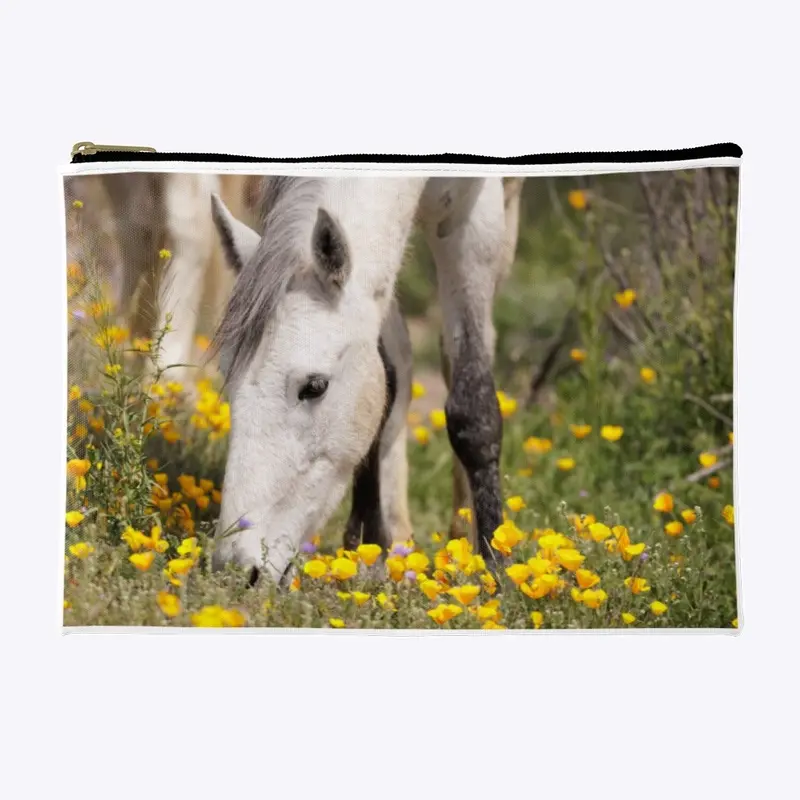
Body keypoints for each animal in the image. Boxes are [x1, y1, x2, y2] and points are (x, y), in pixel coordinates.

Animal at [209, 177, 520, 580]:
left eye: (314, 387)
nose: (235, 569)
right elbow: (387, 384)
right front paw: (367, 549)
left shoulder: (472, 219)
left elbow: (473, 411)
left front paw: (496, 565)